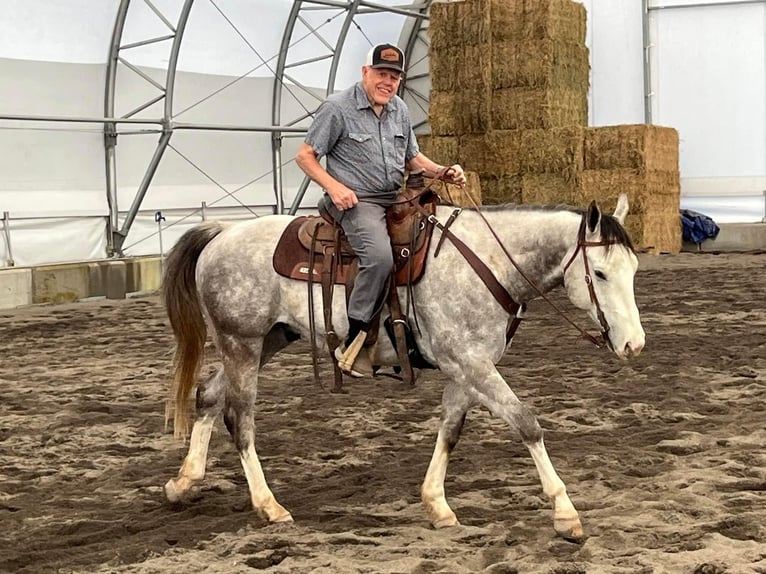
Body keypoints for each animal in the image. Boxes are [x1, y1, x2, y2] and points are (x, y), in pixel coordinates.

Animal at [164, 196, 648, 544]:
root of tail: (223, 232)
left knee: (209, 396)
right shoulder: (471, 364)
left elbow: (450, 430)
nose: (634, 344)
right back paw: (269, 505)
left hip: (268, 340)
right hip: (242, 344)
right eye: (599, 274)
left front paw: (437, 505)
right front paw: (565, 513)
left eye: (634, 270)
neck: (487, 262)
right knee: (239, 417)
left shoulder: (467, 367)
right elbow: (527, 424)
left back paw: (184, 482)